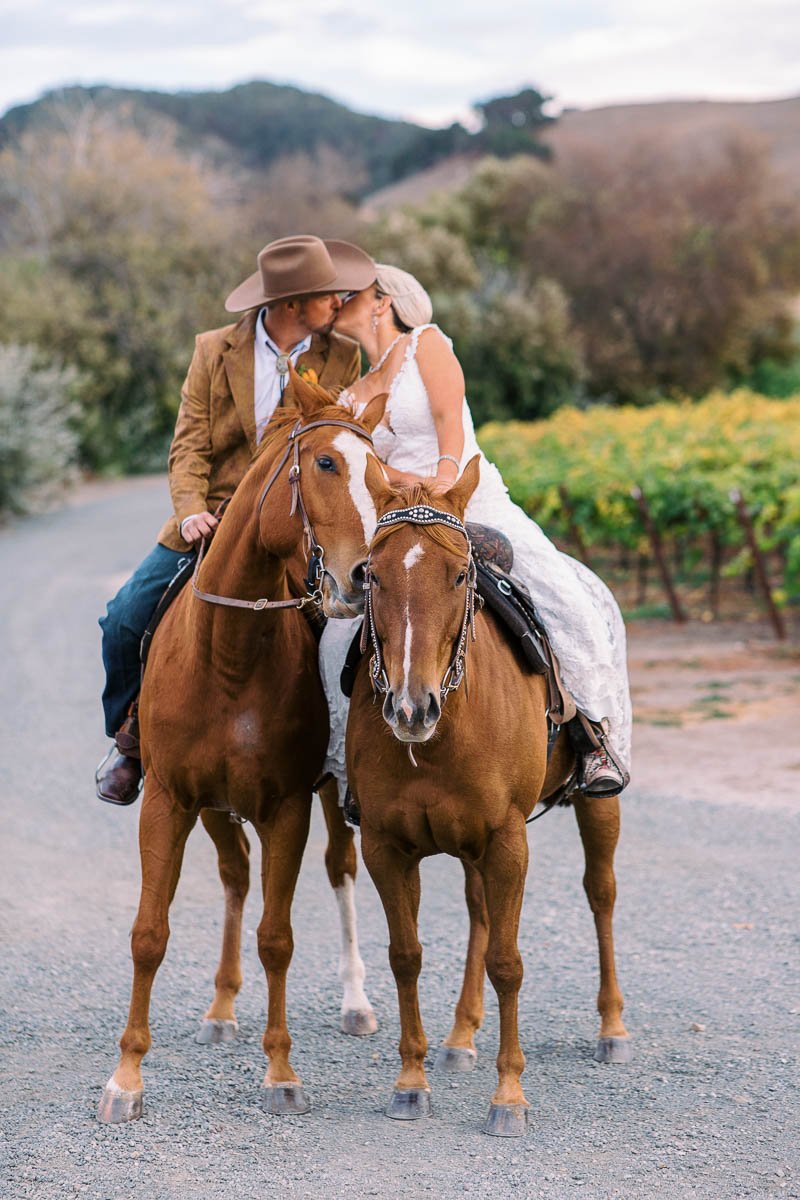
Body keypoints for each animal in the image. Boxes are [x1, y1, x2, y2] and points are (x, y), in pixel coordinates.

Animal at [97, 376, 388, 1123]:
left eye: (381, 475)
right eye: (325, 464)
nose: (362, 578)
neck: (228, 653)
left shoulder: (287, 807)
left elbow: (276, 938)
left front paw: (281, 1071)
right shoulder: (169, 801)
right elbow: (149, 933)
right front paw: (125, 1077)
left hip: (323, 797)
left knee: (340, 869)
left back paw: (355, 1001)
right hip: (209, 805)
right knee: (234, 875)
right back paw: (222, 1008)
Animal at [345, 456, 633, 1132]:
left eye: (457, 576)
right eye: (372, 575)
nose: (411, 707)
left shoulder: (506, 841)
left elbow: (508, 961)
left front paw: (509, 1096)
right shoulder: (385, 845)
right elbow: (406, 955)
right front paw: (411, 1081)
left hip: (597, 803)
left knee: (601, 893)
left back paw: (612, 1027)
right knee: (479, 911)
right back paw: (460, 1037)